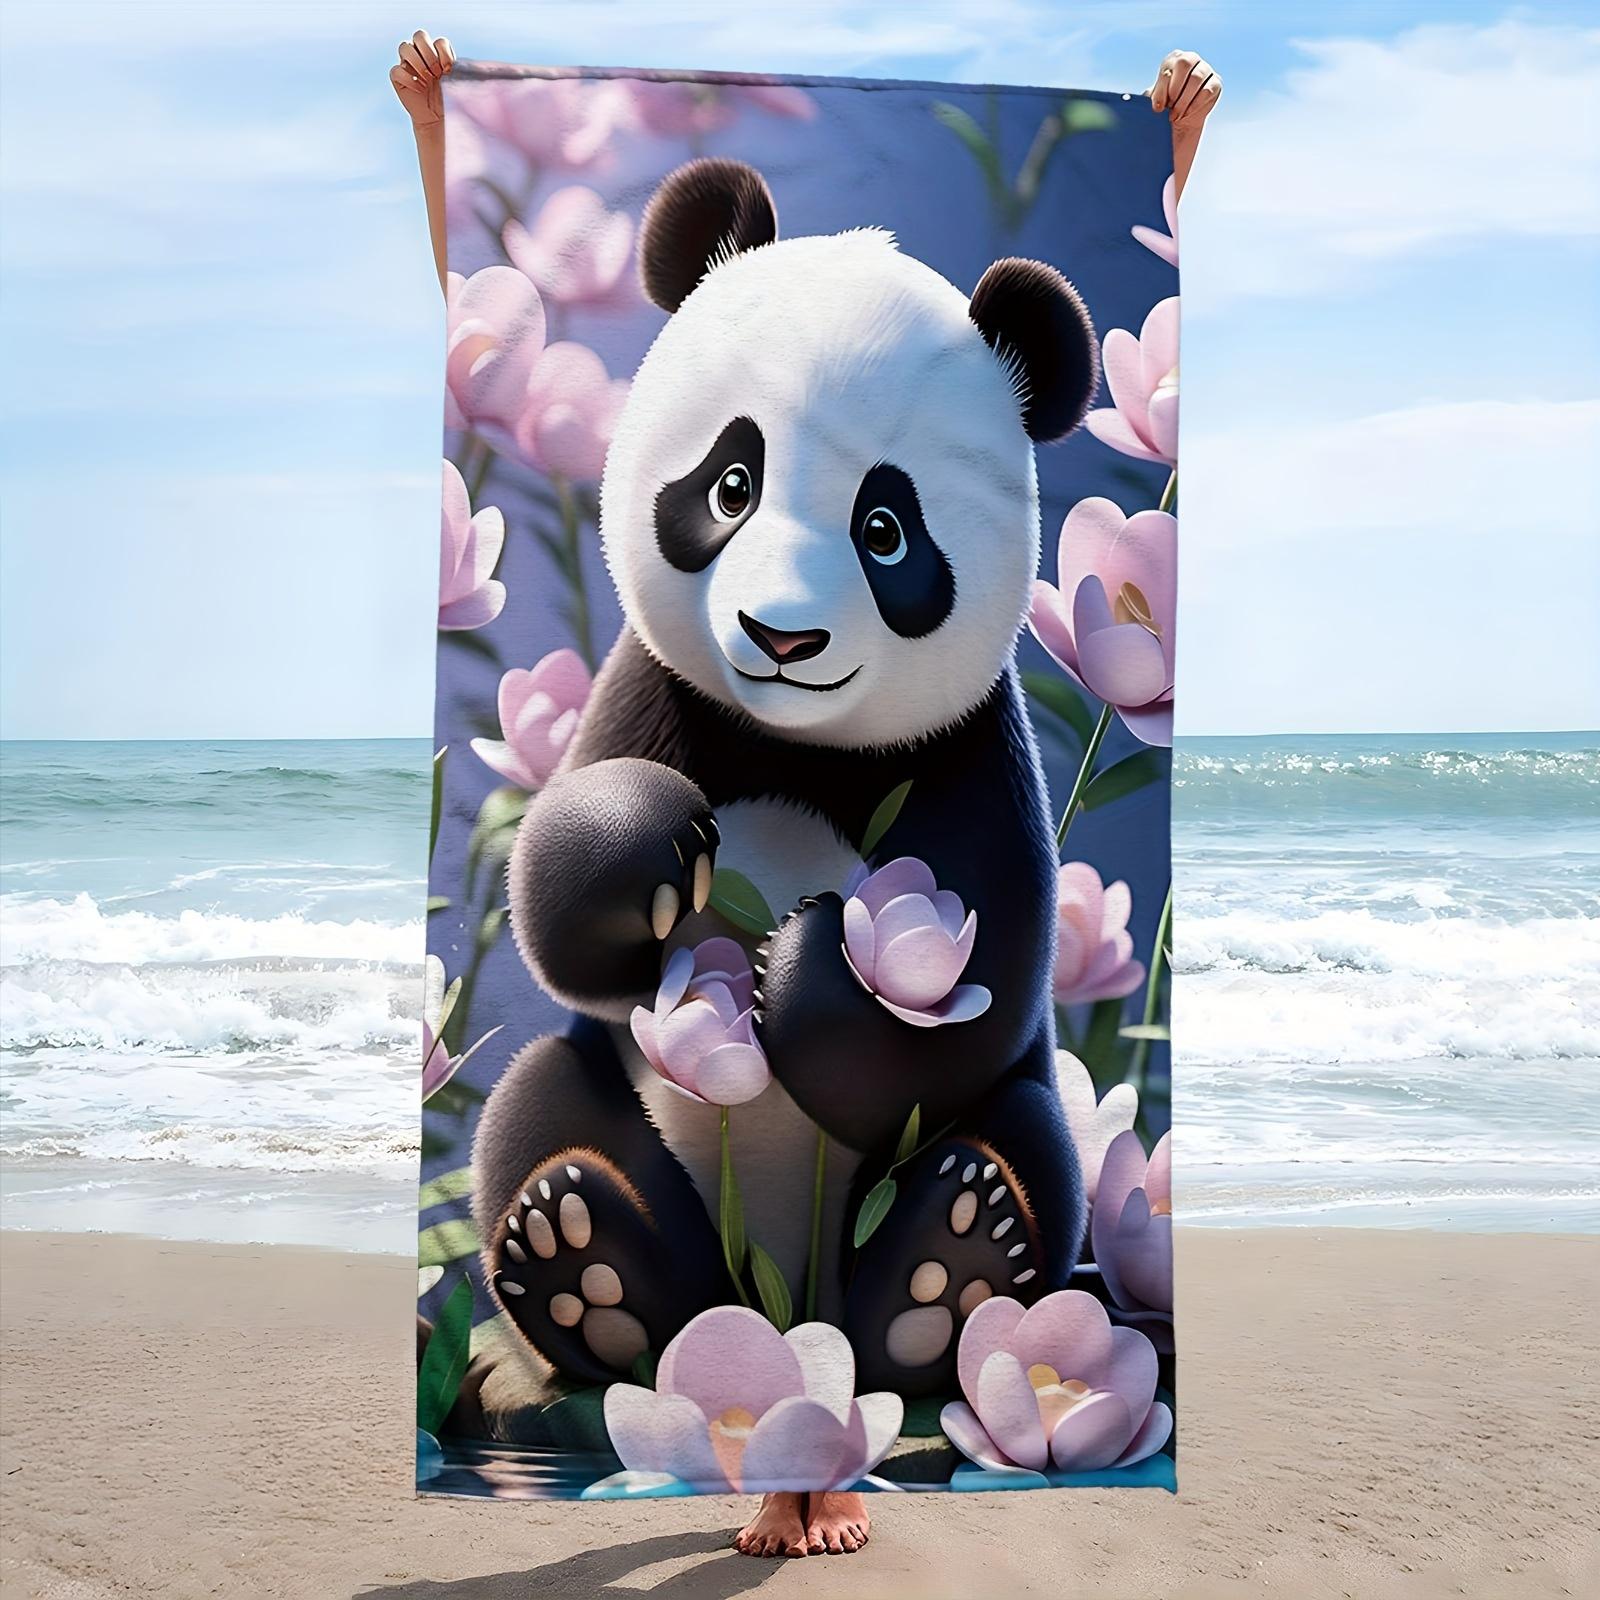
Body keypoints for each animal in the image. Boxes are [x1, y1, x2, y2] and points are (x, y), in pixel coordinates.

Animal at [473, 157, 1093, 1399]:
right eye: (731, 483)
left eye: (885, 527)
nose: (781, 637)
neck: (793, 742)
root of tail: (771, 1303)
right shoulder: (660, 695)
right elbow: (551, 905)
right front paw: (657, 849)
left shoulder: (969, 750)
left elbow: (974, 992)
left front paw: (801, 961)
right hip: (619, 1101)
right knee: (537, 1108)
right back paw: (592, 1271)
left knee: (1020, 1142)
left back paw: (946, 1272)